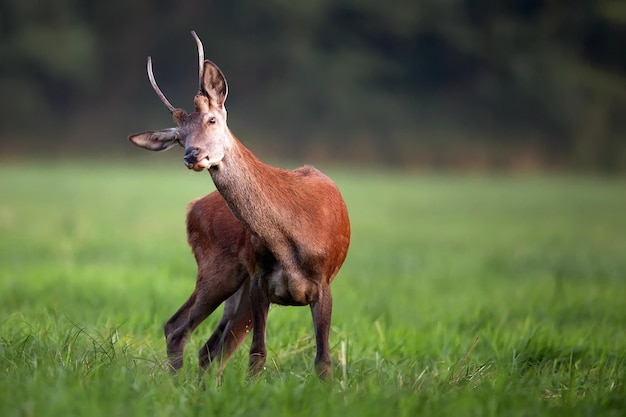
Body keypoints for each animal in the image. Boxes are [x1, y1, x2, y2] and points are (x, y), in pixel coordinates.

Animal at [129, 30, 348, 378]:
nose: (192, 155)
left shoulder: (323, 281)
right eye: (178, 137)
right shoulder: (259, 280)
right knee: (178, 327)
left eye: (212, 120)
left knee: (210, 346)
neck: (291, 238)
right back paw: (175, 385)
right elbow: (257, 354)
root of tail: (193, 207)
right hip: (217, 268)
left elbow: (323, 360)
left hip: (235, 288)